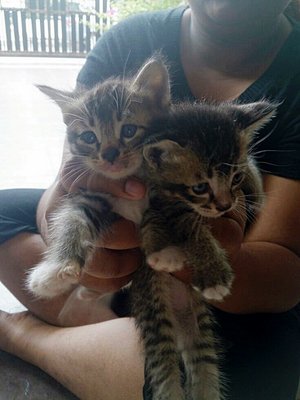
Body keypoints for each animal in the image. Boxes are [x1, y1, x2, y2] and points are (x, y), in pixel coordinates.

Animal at [26, 57, 170, 298]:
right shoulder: (90, 196)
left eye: (129, 130)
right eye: (89, 137)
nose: (109, 155)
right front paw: (54, 273)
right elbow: (72, 221)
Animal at [131, 100, 276, 400]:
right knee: (164, 371)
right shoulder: (164, 202)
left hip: (199, 325)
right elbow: (189, 224)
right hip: (154, 311)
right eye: (200, 187)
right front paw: (213, 272)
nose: (225, 206)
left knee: (204, 365)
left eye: (235, 177)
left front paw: (255, 192)